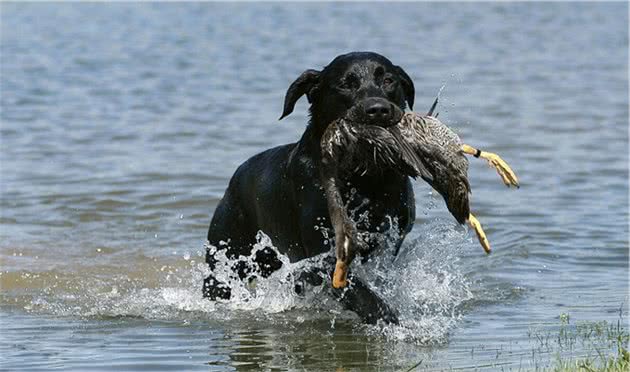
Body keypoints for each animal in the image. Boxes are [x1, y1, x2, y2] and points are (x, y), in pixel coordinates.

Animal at [205, 51, 418, 322]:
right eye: (345, 84)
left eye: (389, 80)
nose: (377, 110)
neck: (361, 179)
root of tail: (235, 179)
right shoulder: (320, 250)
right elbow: (356, 290)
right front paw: (387, 316)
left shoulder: (390, 240)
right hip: (226, 256)